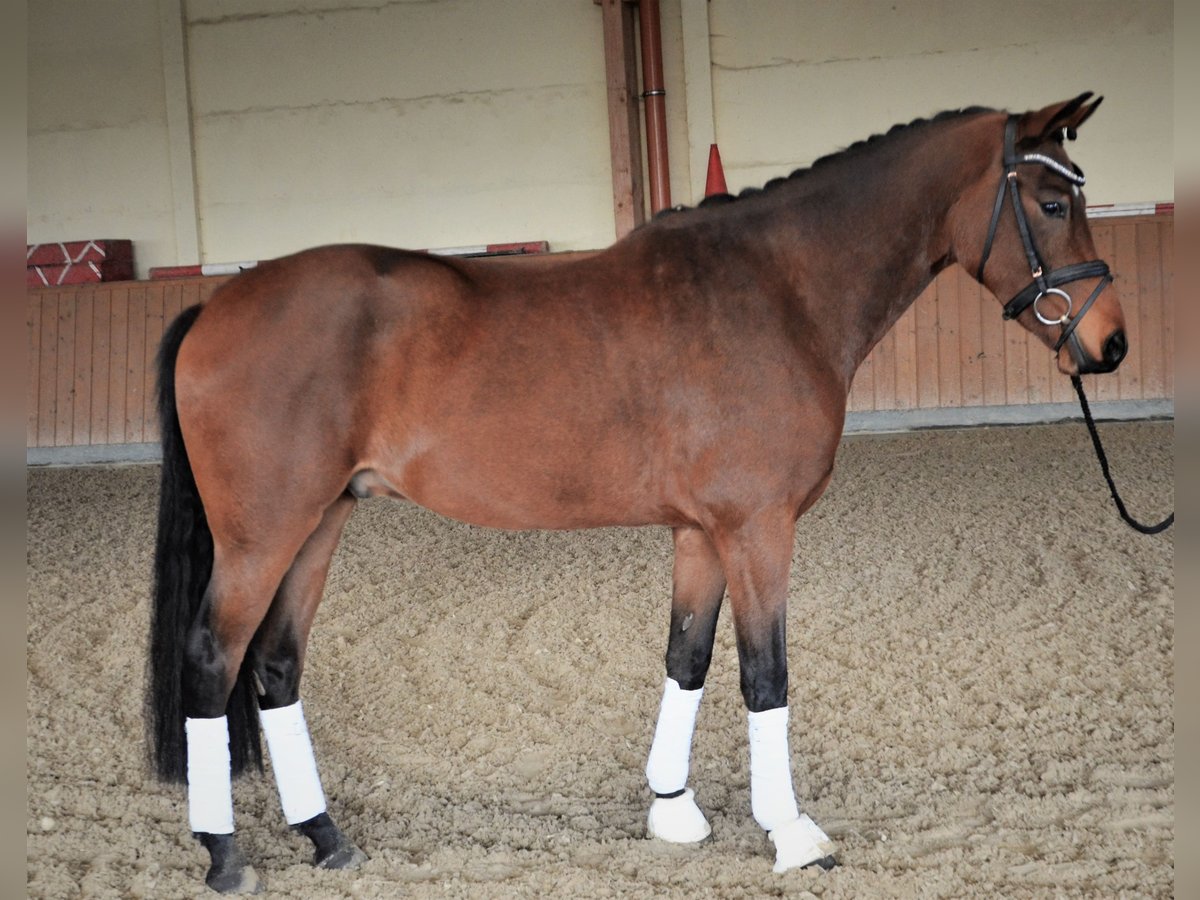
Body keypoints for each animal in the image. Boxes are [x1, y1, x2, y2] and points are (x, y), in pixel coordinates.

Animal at [147, 95, 1123, 892]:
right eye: (1051, 203)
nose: (1109, 343)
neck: (778, 289)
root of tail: (215, 308)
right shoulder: (759, 529)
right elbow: (764, 674)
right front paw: (793, 834)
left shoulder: (703, 533)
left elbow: (686, 657)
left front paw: (674, 810)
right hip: (262, 536)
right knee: (212, 659)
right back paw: (225, 855)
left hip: (319, 523)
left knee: (275, 666)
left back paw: (325, 836)